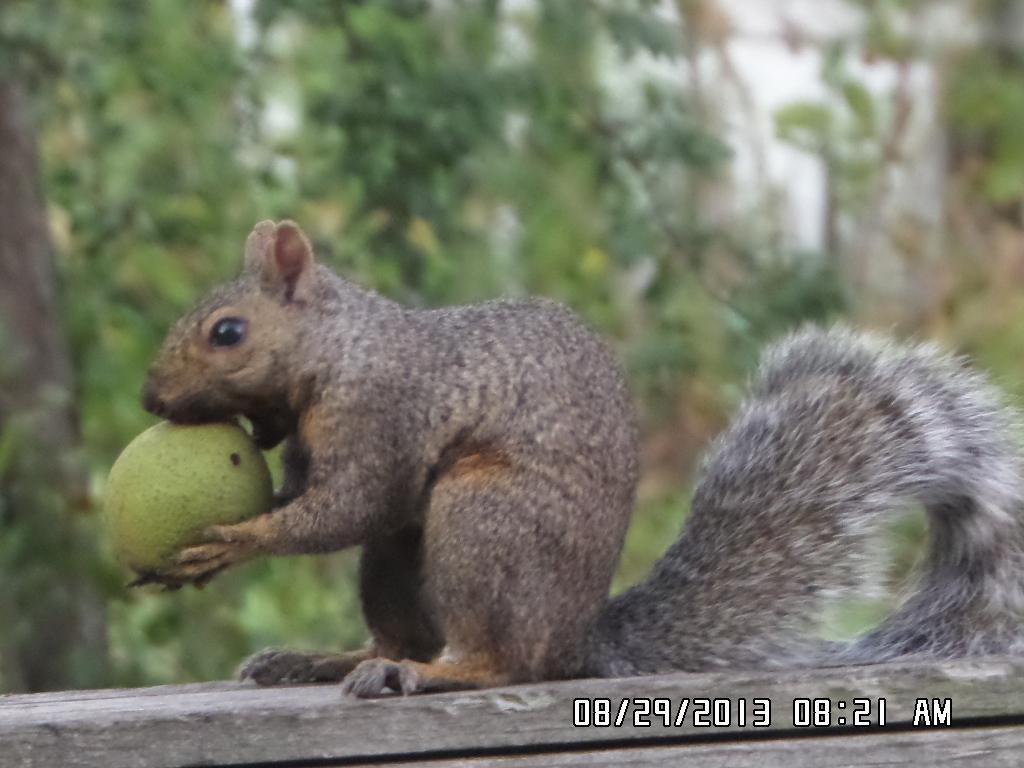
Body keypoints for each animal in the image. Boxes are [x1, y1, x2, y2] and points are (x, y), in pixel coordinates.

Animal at [141, 219, 1024, 696]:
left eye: (227, 332)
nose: (151, 399)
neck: (339, 351)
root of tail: (576, 638)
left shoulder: (382, 414)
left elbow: (343, 509)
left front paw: (230, 541)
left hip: (482, 519)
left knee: (501, 662)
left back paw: (437, 673)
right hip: (399, 561)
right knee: (401, 634)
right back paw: (329, 659)